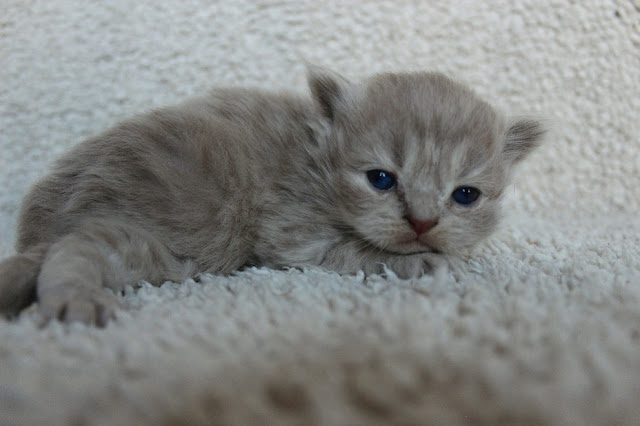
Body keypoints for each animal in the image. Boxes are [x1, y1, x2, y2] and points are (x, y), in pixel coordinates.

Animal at [0, 67, 544, 326]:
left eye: (465, 195)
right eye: (381, 180)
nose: (423, 223)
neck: (314, 159)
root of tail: (43, 218)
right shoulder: (292, 230)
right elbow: (359, 252)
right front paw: (422, 262)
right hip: (161, 234)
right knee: (76, 248)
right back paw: (75, 302)